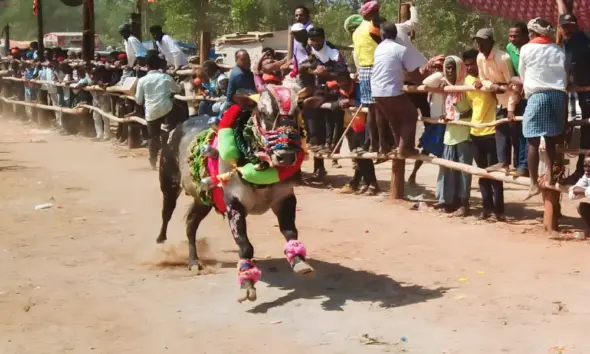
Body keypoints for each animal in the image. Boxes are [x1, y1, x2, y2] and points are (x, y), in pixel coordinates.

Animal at [156, 85, 314, 302]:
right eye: (263, 113)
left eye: (297, 113)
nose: (286, 156)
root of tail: (176, 129)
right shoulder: (234, 204)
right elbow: (245, 245)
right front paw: (247, 284)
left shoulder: (285, 198)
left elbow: (290, 231)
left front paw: (299, 261)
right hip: (169, 185)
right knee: (166, 213)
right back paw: (162, 242)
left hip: (203, 200)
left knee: (191, 225)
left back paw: (194, 261)